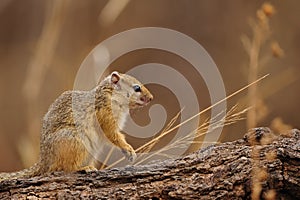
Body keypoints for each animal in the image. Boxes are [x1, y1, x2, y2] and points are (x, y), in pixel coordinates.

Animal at [0, 71, 154, 180]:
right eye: (137, 88)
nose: (151, 98)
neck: (111, 95)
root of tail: (45, 160)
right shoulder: (105, 116)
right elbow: (113, 135)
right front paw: (128, 149)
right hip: (76, 142)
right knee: (65, 168)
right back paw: (84, 168)